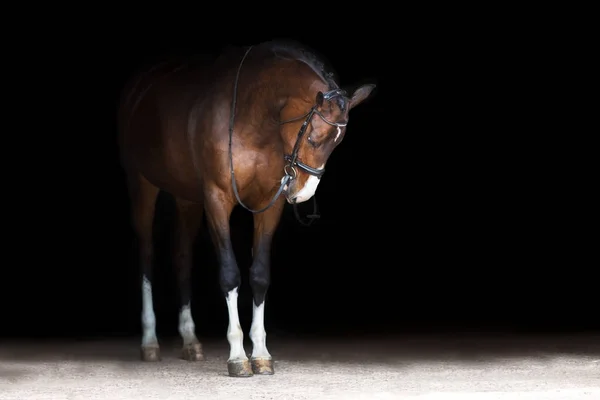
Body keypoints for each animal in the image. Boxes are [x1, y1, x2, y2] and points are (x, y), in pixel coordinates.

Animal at [117, 41, 376, 378]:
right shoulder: (216, 199)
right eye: (313, 136)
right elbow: (230, 274)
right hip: (142, 185)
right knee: (147, 256)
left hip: (187, 198)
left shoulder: (270, 205)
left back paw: (190, 340)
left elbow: (260, 275)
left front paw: (262, 353)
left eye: (337, 142)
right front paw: (238, 356)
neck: (251, 117)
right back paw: (149, 341)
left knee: (182, 257)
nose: (302, 193)